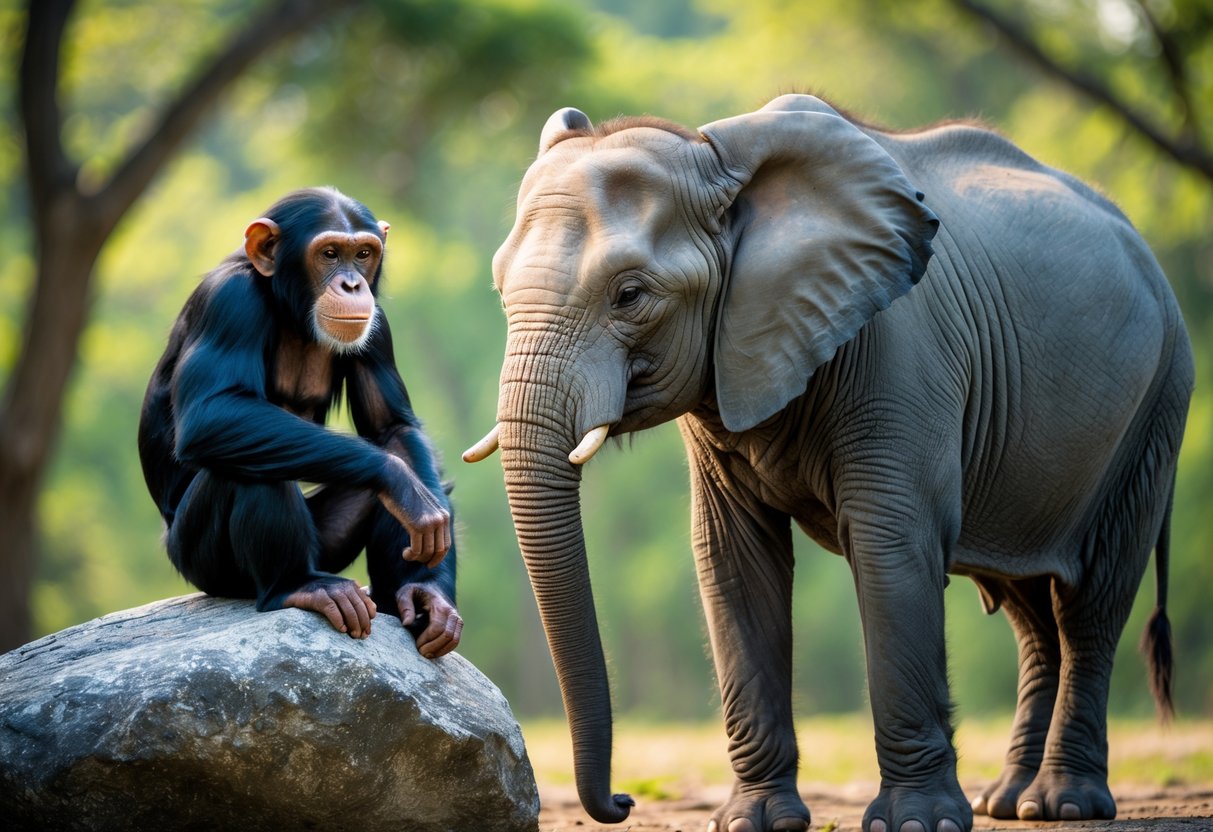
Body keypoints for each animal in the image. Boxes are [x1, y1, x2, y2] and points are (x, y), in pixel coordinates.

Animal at [463, 94, 1193, 832]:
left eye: (630, 295)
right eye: (499, 290)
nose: (622, 801)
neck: (716, 159)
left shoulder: (901, 351)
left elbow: (890, 546)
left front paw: (917, 822)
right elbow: (734, 561)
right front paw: (755, 822)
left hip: (1157, 403)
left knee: (1090, 603)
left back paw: (1064, 803)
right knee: (1030, 611)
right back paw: (1010, 802)